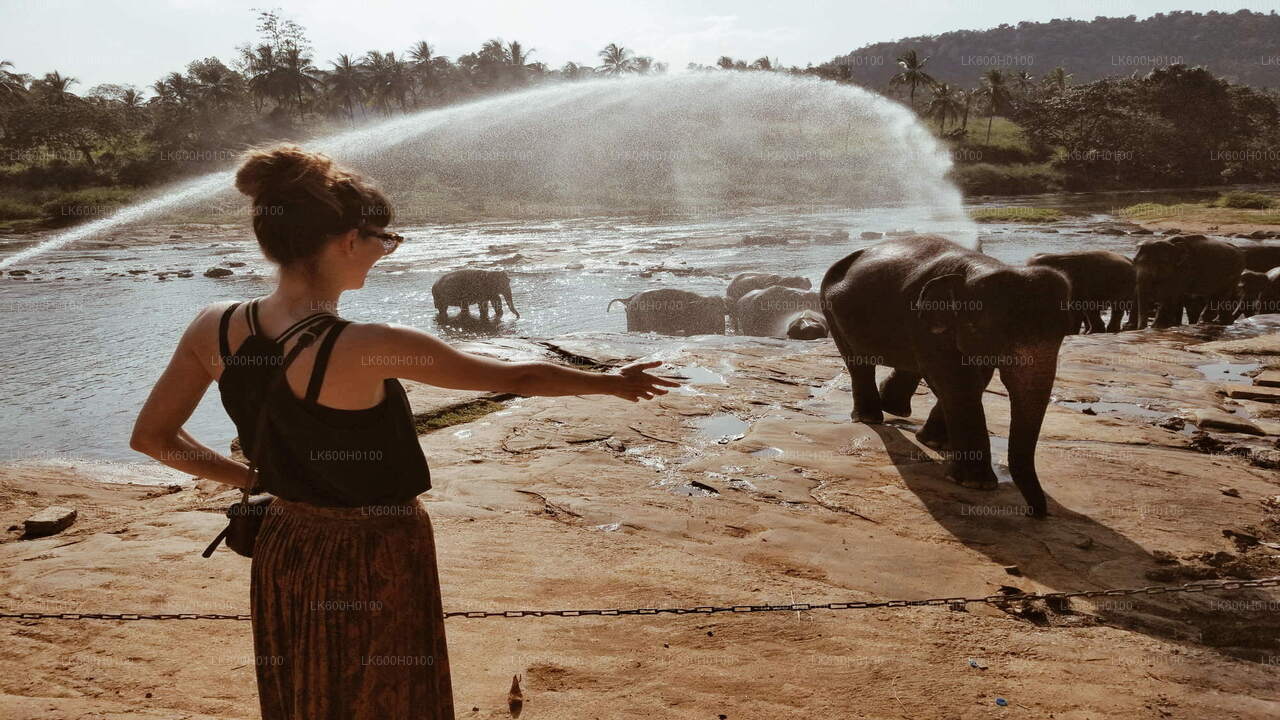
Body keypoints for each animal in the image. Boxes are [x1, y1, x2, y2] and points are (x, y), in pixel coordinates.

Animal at [819, 235, 1070, 515]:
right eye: (994, 331)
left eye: (1062, 334)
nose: (1035, 513)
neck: (980, 268)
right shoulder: (925, 323)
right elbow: (957, 382)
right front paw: (976, 484)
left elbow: (976, 379)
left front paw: (936, 444)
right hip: (831, 309)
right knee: (858, 363)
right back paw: (870, 418)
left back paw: (894, 408)